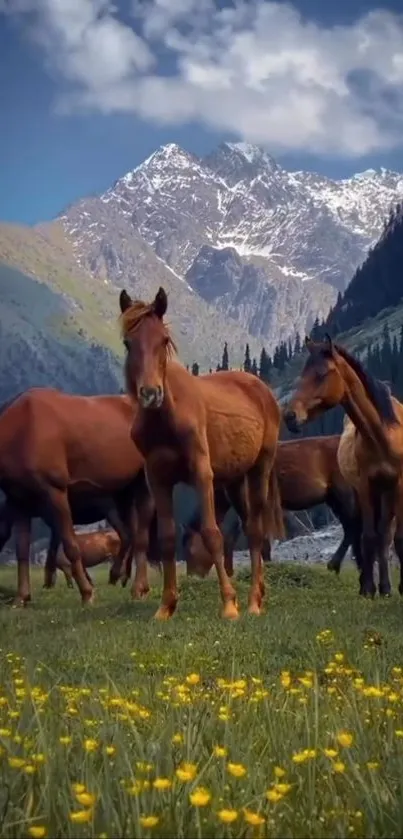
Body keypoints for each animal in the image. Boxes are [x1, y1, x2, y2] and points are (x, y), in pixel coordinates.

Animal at [0, 390, 155, 608]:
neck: (17, 433)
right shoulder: (19, 500)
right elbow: (22, 551)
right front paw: (21, 597)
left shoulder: (55, 491)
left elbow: (71, 546)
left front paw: (87, 593)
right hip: (124, 491)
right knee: (130, 534)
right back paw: (128, 580)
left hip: (143, 482)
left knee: (140, 536)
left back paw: (137, 587)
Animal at [118, 286, 286, 620]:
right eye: (128, 342)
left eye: (163, 341)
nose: (150, 394)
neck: (167, 417)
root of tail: (260, 387)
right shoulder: (158, 479)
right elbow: (167, 538)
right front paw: (166, 606)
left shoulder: (201, 473)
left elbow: (211, 533)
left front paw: (229, 604)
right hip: (234, 481)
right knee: (250, 527)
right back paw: (259, 595)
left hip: (259, 469)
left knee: (257, 529)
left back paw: (252, 602)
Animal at [282, 334, 403, 596]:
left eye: (322, 374)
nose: (290, 416)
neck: (383, 436)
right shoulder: (366, 487)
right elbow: (369, 537)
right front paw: (368, 588)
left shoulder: (399, 485)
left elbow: (396, 538)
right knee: (375, 535)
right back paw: (382, 585)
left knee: (385, 535)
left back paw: (387, 586)